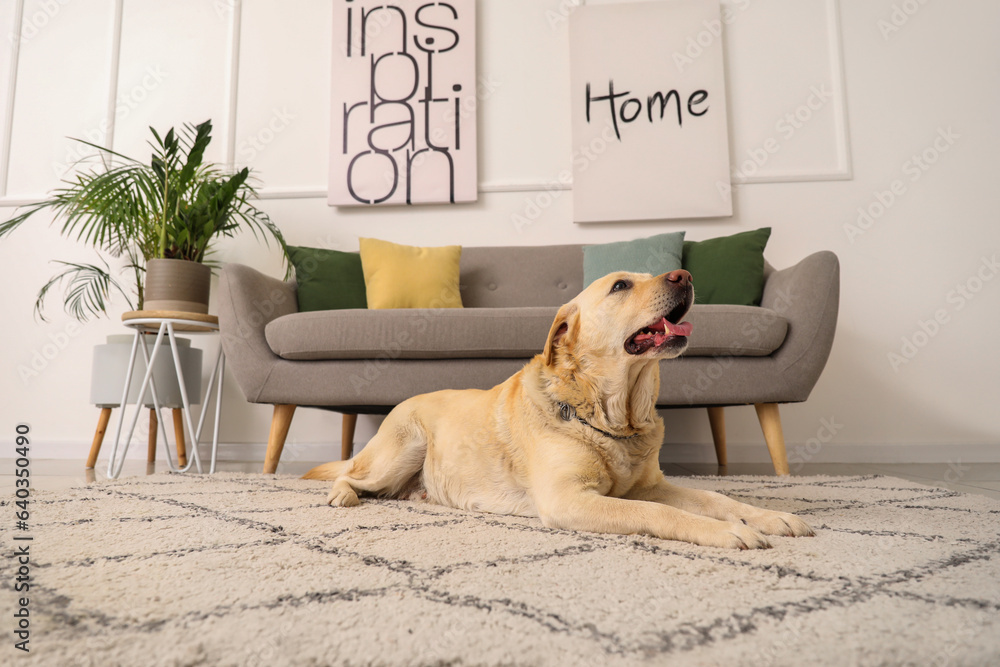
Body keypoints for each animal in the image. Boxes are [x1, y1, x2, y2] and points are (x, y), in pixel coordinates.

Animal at [304, 268, 812, 552]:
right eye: (621, 285)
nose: (684, 276)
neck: (613, 415)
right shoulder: (570, 499)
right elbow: (658, 514)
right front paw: (725, 532)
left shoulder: (651, 484)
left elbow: (716, 498)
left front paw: (768, 517)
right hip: (402, 448)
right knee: (350, 475)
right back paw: (343, 495)